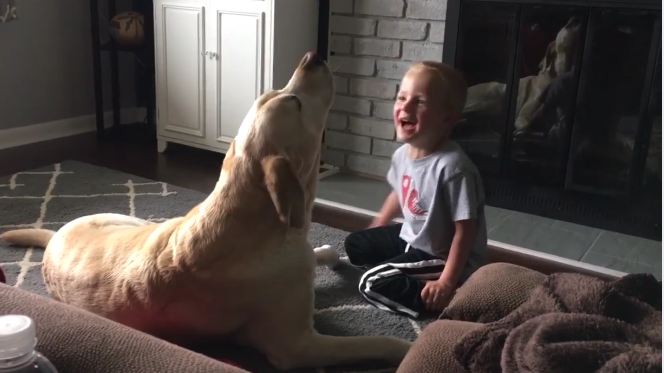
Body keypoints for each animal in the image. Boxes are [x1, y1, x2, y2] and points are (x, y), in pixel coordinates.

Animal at [1, 53, 410, 370]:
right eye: (293, 102)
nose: (312, 56)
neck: (258, 219)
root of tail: (55, 236)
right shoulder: (297, 345)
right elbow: (369, 342)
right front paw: (403, 349)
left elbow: (315, 257)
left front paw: (327, 252)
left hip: (137, 221)